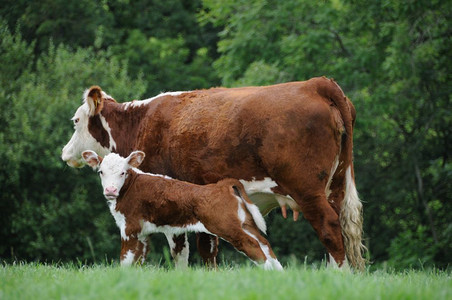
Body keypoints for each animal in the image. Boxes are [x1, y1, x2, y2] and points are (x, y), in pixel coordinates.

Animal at [81, 150, 282, 270]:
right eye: (101, 172)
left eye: (122, 172)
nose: (110, 190)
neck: (131, 186)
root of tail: (222, 185)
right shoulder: (143, 233)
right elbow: (138, 260)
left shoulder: (129, 228)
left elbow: (125, 259)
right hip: (245, 223)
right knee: (264, 243)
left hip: (227, 226)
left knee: (253, 245)